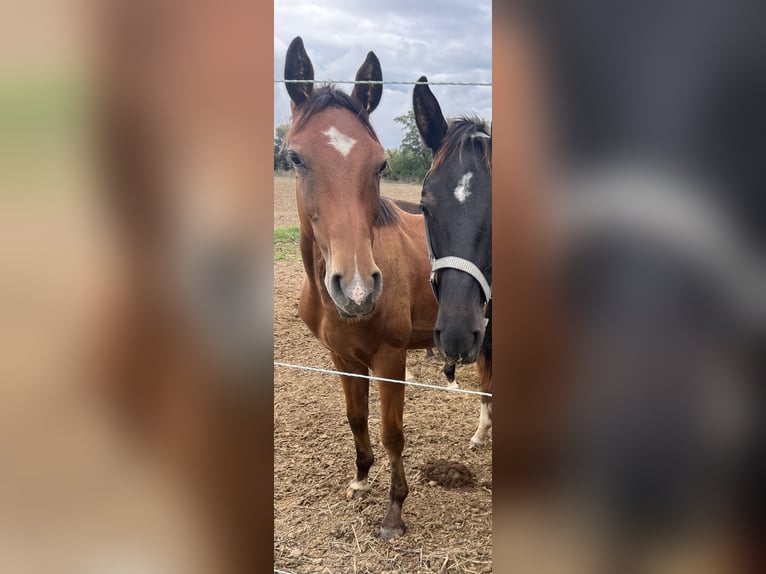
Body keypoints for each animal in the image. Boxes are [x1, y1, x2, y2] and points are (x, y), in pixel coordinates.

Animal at [282, 38, 438, 544]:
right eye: (295, 157)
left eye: (380, 163)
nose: (356, 290)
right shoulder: (342, 357)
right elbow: (356, 417)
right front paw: (361, 478)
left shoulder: (390, 358)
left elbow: (392, 432)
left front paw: (394, 511)